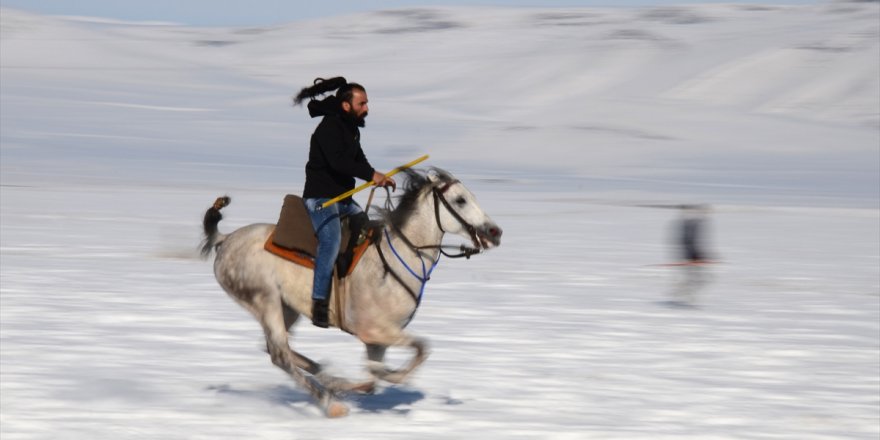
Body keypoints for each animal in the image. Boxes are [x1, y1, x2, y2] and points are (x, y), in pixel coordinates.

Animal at [200, 168, 502, 416]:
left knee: (275, 349)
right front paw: (369, 380)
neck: (397, 259)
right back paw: (331, 403)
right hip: (266, 302)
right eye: (460, 200)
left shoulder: (377, 341)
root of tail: (226, 240)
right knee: (280, 355)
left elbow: (374, 377)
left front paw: (351, 380)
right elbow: (418, 350)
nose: (495, 232)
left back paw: (327, 377)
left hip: (287, 309)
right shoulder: (377, 331)